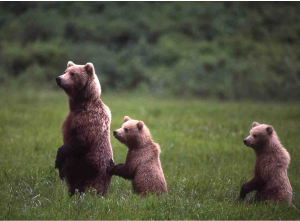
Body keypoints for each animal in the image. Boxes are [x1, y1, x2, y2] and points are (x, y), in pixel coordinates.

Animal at [55, 61, 113, 196]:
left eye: (72, 73)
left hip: (94, 169)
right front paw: (60, 169)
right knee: (74, 183)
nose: (59, 78)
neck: (81, 105)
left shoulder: (91, 120)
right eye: (65, 71)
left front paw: (58, 160)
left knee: (91, 186)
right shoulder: (70, 118)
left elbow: (81, 141)